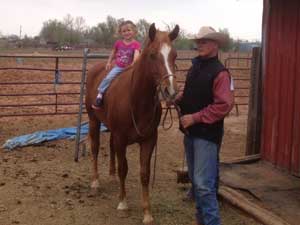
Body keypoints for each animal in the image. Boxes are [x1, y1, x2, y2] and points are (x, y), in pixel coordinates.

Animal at [84, 23, 179, 224]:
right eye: (152, 55)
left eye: (175, 55)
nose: (171, 91)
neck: (137, 101)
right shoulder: (121, 138)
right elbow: (124, 169)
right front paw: (123, 203)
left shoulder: (149, 140)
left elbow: (144, 173)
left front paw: (147, 213)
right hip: (94, 120)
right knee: (95, 148)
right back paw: (95, 182)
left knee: (110, 146)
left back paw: (111, 176)